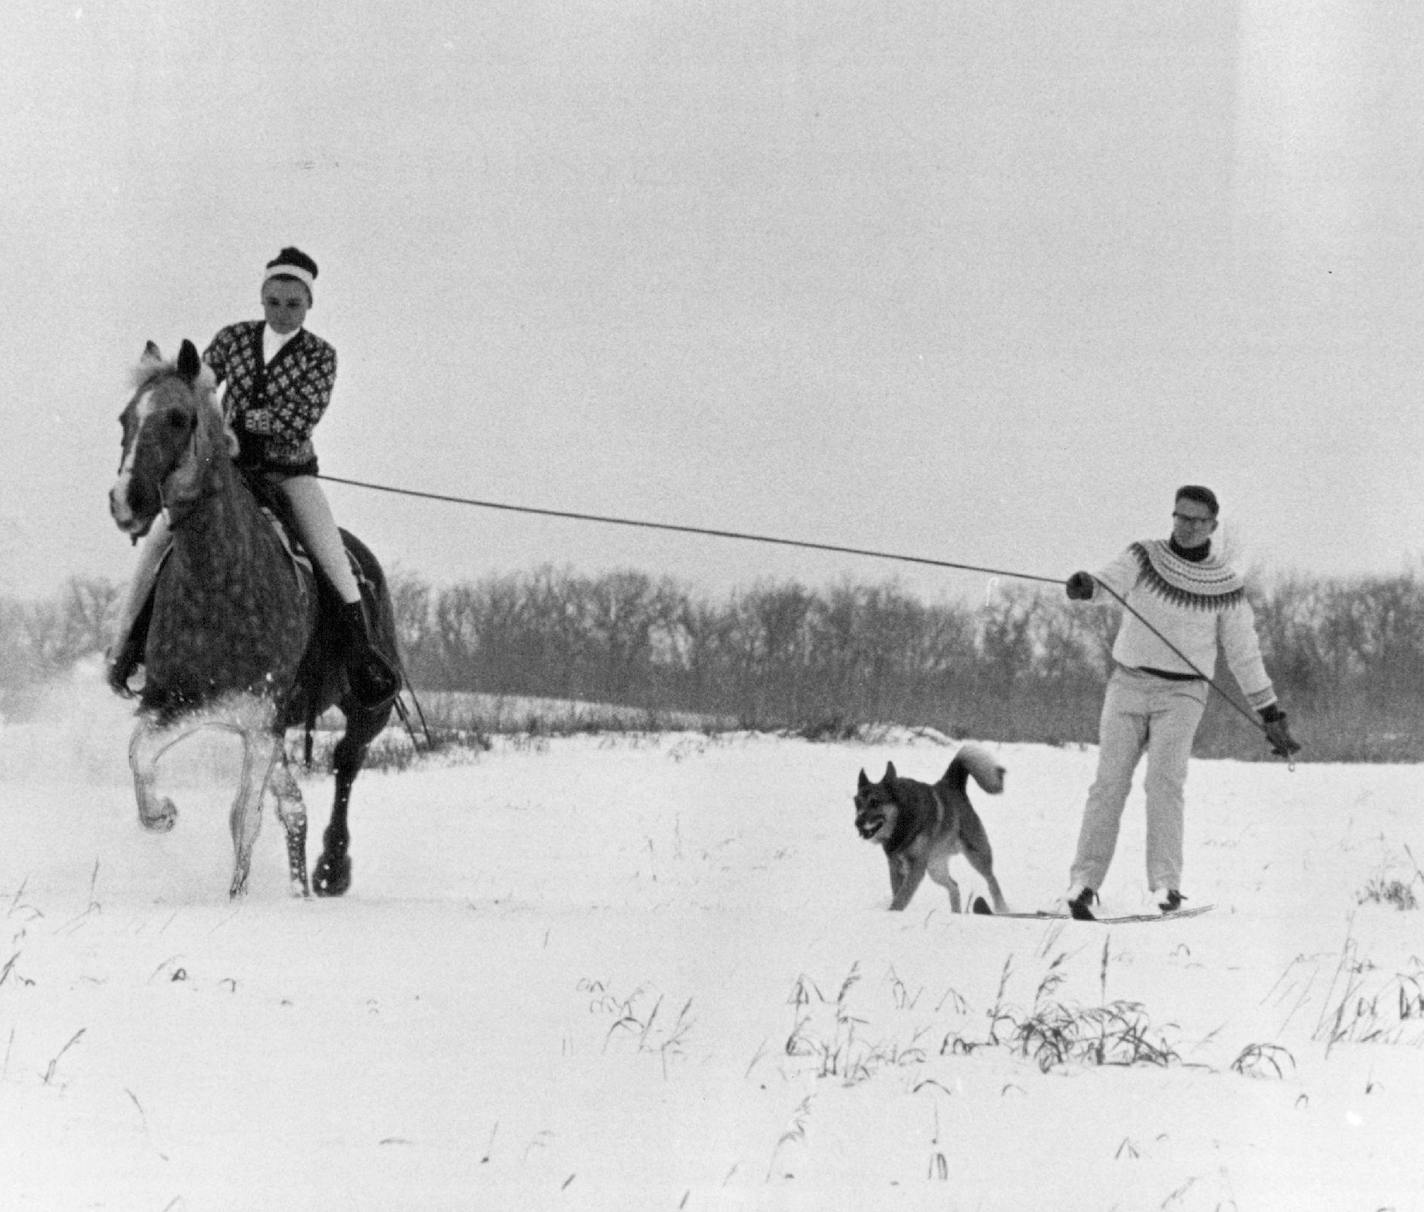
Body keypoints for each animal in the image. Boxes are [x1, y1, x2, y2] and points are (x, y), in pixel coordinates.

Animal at [108, 341, 401, 900]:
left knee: (345, 765)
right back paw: (301, 888)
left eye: (178, 418)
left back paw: (331, 869)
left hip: (364, 710)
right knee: (295, 808)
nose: (125, 501)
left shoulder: (259, 718)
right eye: (125, 419)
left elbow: (244, 818)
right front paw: (161, 814)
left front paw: (237, 901)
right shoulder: (179, 704)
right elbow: (138, 753)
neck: (220, 582)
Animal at [848, 746, 1008, 917]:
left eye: (875, 802)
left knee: (992, 880)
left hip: (976, 855)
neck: (902, 820)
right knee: (954, 885)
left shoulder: (916, 866)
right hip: (935, 868)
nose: (857, 823)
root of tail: (951, 785)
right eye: (857, 803)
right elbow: (898, 893)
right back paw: (956, 913)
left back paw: (1002, 908)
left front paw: (893, 913)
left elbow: (902, 896)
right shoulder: (895, 866)